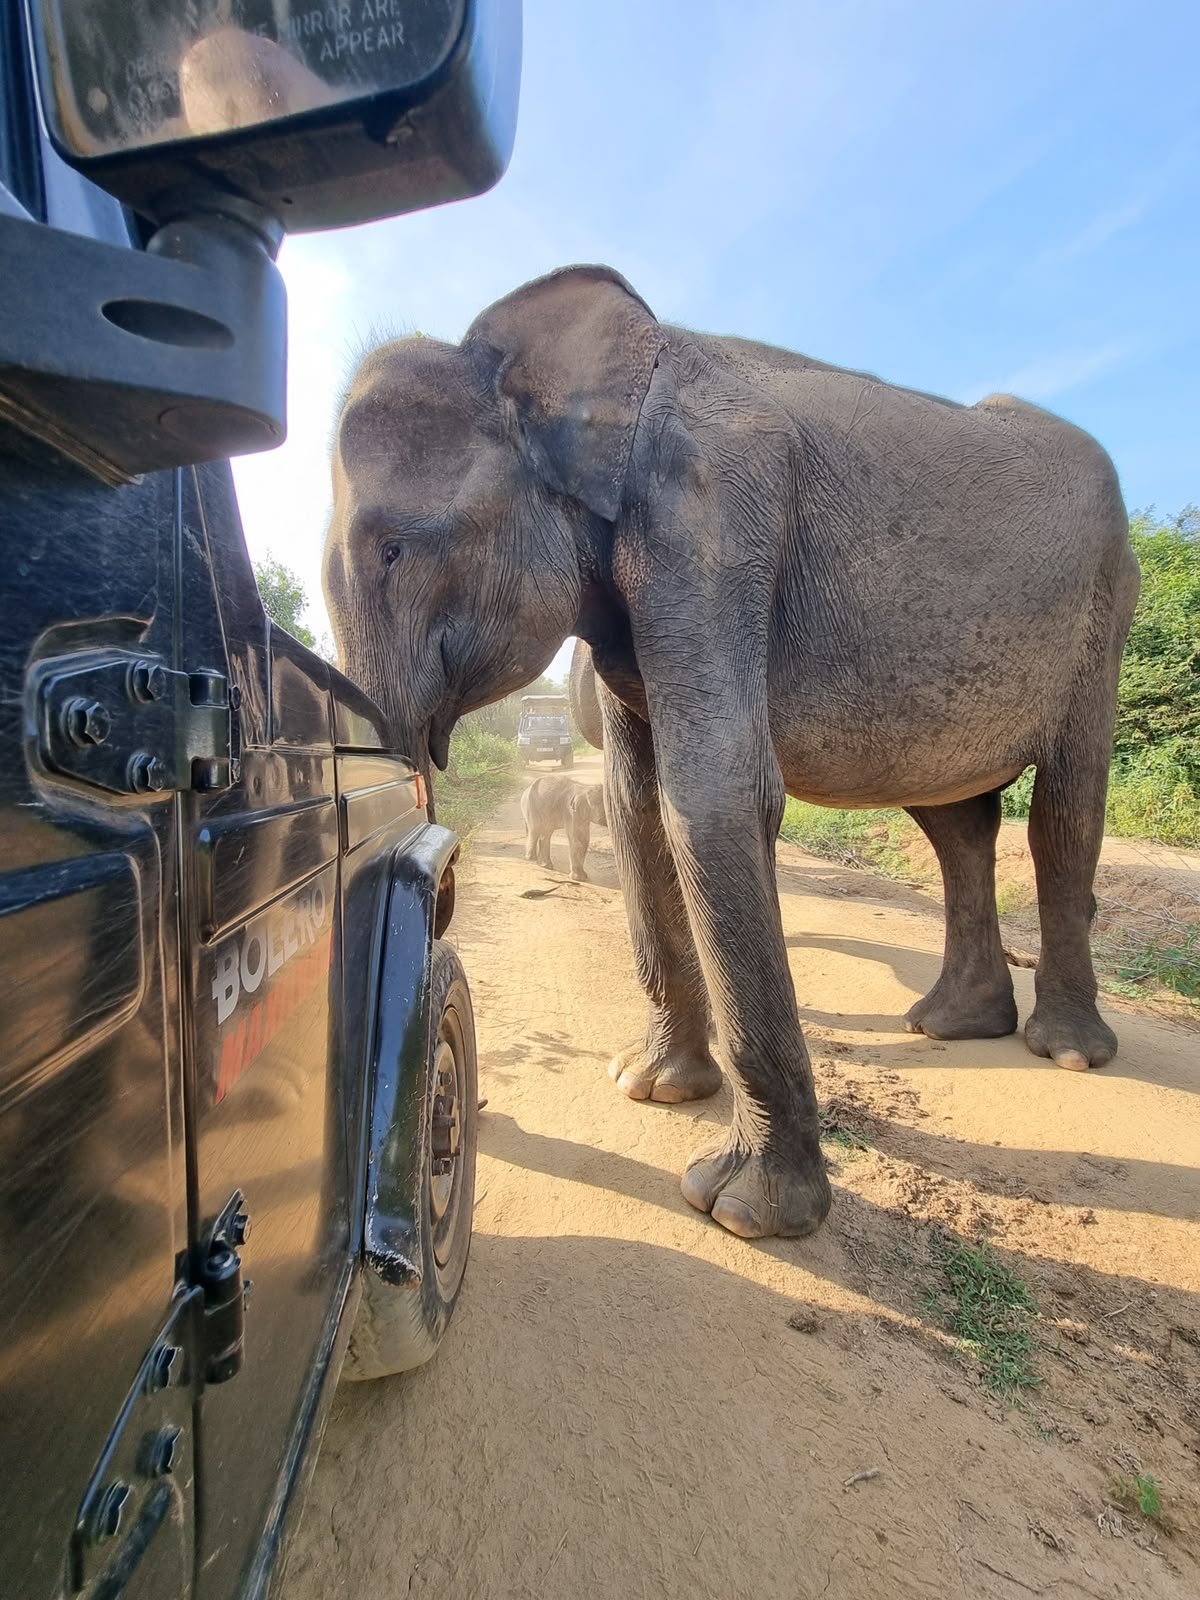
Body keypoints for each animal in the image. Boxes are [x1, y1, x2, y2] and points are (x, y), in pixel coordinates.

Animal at [323, 263, 1139, 1241]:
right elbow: (637, 806)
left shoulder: (713, 515)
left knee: (1063, 811)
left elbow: (713, 796)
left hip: (1104, 610)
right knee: (957, 822)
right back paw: (951, 1026)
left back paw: (1066, 1052)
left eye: (394, 549)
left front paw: (744, 1211)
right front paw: (649, 1087)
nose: (470, 1114)